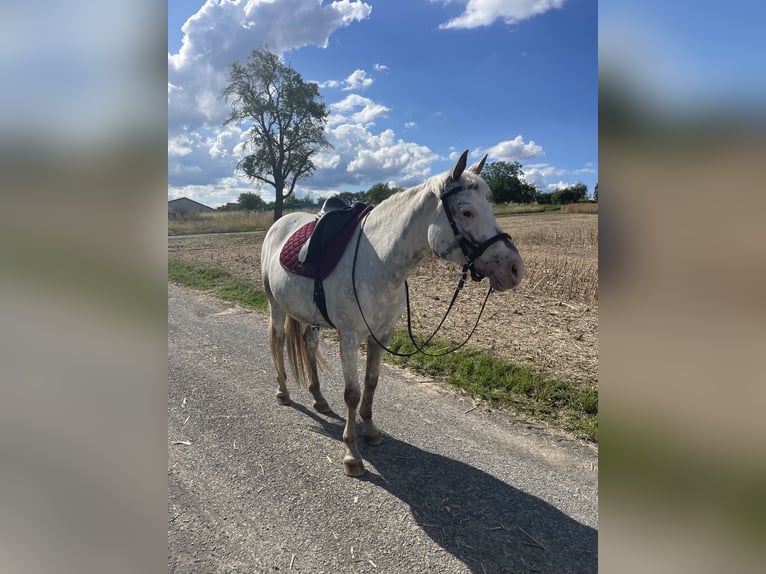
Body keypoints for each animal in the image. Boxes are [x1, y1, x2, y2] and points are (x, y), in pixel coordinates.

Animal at [260, 150, 524, 476]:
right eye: (467, 212)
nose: (514, 268)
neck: (379, 261)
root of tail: (280, 223)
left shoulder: (382, 335)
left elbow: (372, 383)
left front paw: (371, 432)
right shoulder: (349, 338)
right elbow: (352, 392)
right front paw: (352, 453)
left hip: (311, 317)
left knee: (309, 345)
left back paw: (319, 399)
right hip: (275, 304)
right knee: (279, 340)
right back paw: (283, 392)